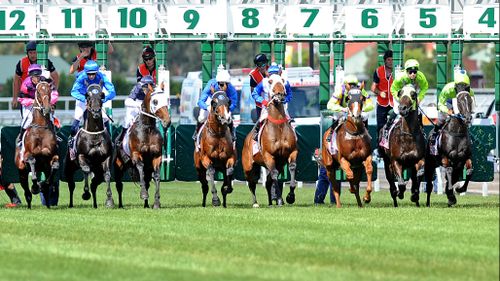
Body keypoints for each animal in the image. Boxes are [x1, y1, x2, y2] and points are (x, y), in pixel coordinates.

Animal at [241, 74, 296, 206]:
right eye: (270, 81)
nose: (280, 94)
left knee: (267, 182)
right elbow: (275, 174)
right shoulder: (268, 155)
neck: (278, 126)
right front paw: (280, 199)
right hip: (249, 166)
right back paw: (255, 203)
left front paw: (290, 196)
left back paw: (271, 202)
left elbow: (292, 167)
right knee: (252, 183)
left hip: (278, 164)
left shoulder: (292, 152)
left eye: (282, 81)